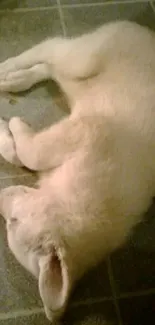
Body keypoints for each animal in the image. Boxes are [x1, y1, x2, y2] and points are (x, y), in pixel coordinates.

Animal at [0, 20, 154, 322]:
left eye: (11, 221)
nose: (0, 195)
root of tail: (145, 32)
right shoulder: (84, 130)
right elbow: (28, 153)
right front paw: (12, 125)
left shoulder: (77, 133)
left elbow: (26, 154)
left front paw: (10, 128)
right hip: (85, 59)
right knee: (50, 46)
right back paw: (8, 69)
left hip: (78, 75)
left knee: (50, 65)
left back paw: (15, 80)